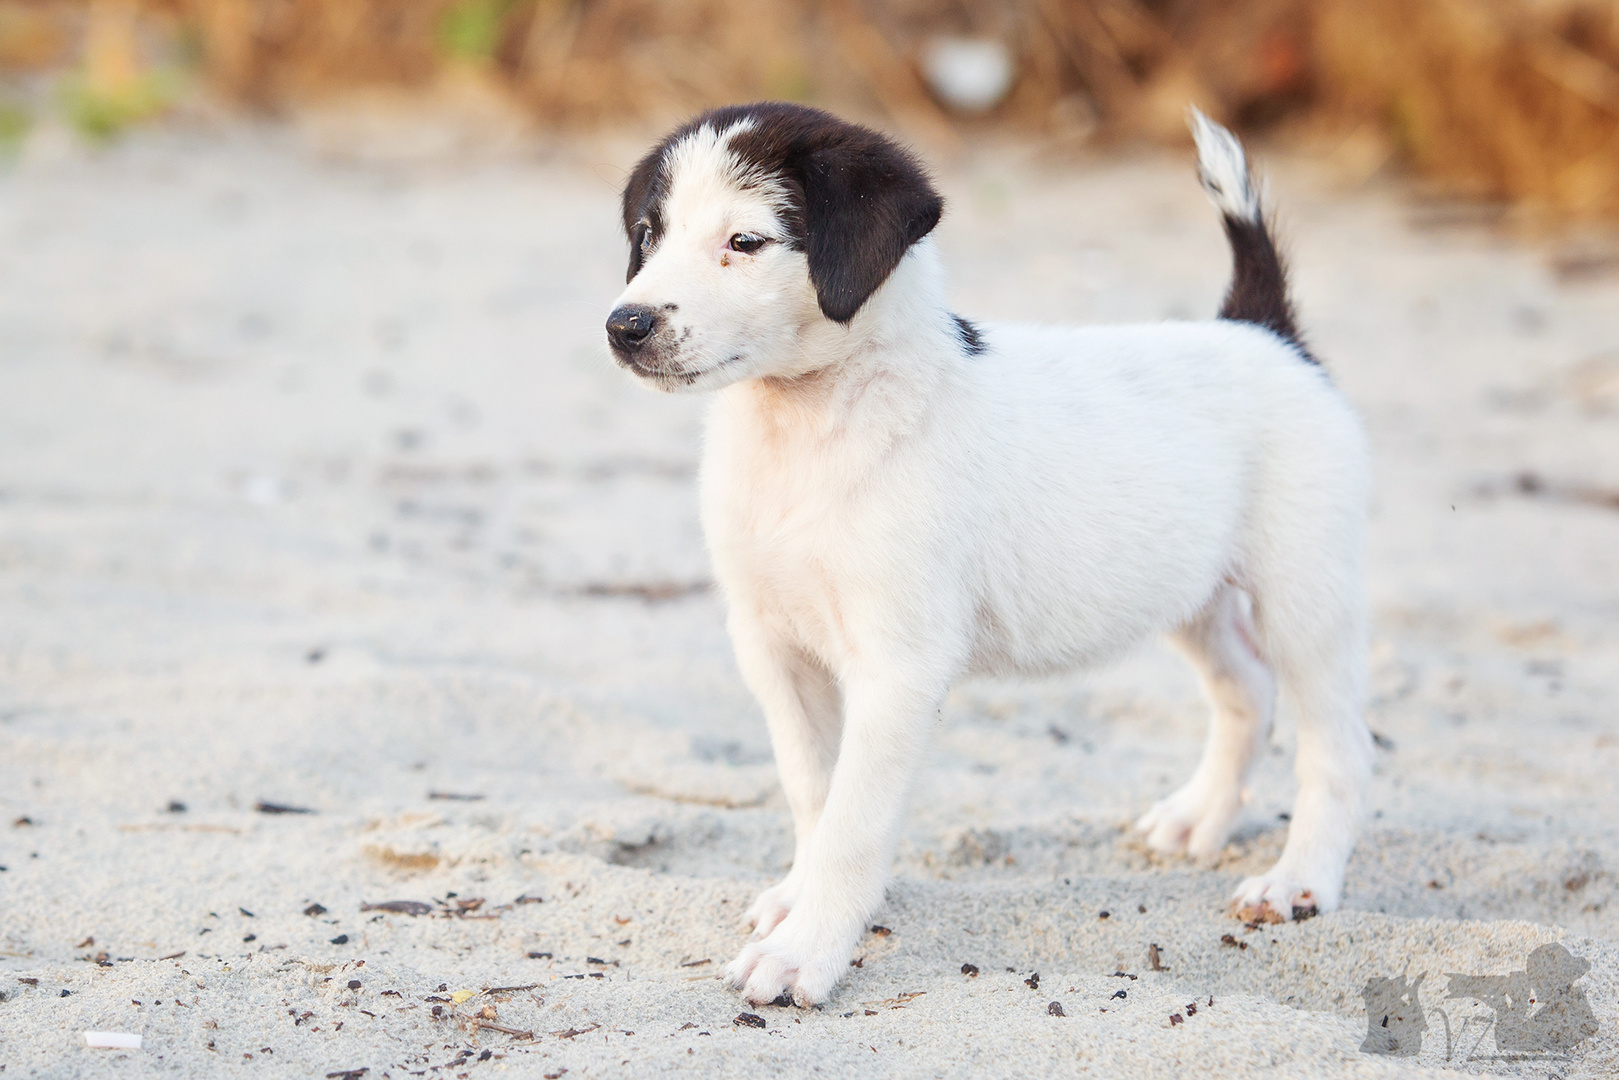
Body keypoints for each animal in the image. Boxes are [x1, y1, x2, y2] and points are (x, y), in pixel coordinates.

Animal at [605, 101, 1366, 1003]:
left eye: (745, 241)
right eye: (648, 234)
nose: (624, 325)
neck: (811, 427)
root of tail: (1264, 333)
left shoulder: (898, 665)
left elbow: (853, 822)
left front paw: (805, 950)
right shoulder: (770, 643)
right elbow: (813, 792)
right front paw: (799, 898)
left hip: (1303, 595)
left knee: (1336, 746)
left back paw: (1298, 879)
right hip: (1188, 590)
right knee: (1246, 689)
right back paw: (1197, 818)